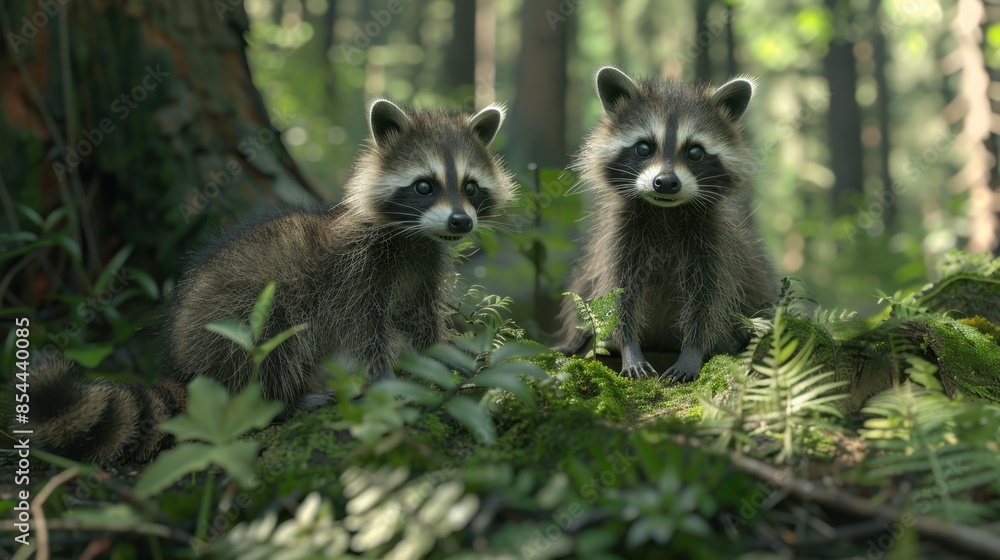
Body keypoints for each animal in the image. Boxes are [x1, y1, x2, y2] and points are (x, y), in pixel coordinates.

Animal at [28, 100, 515, 465]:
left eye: (470, 187)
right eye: (424, 186)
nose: (460, 222)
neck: (413, 235)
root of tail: (184, 368)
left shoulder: (422, 267)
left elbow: (420, 318)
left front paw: (446, 355)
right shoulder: (354, 274)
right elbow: (364, 332)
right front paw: (384, 378)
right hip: (240, 320)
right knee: (276, 344)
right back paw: (284, 402)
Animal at [556, 67, 777, 382]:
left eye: (695, 152)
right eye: (644, 148)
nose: (666, 182)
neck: (665, 212)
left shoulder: (714, 241)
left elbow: (708, 300)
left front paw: (692, 352)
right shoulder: (621, 237)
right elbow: (619, 295)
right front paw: (629, 347)